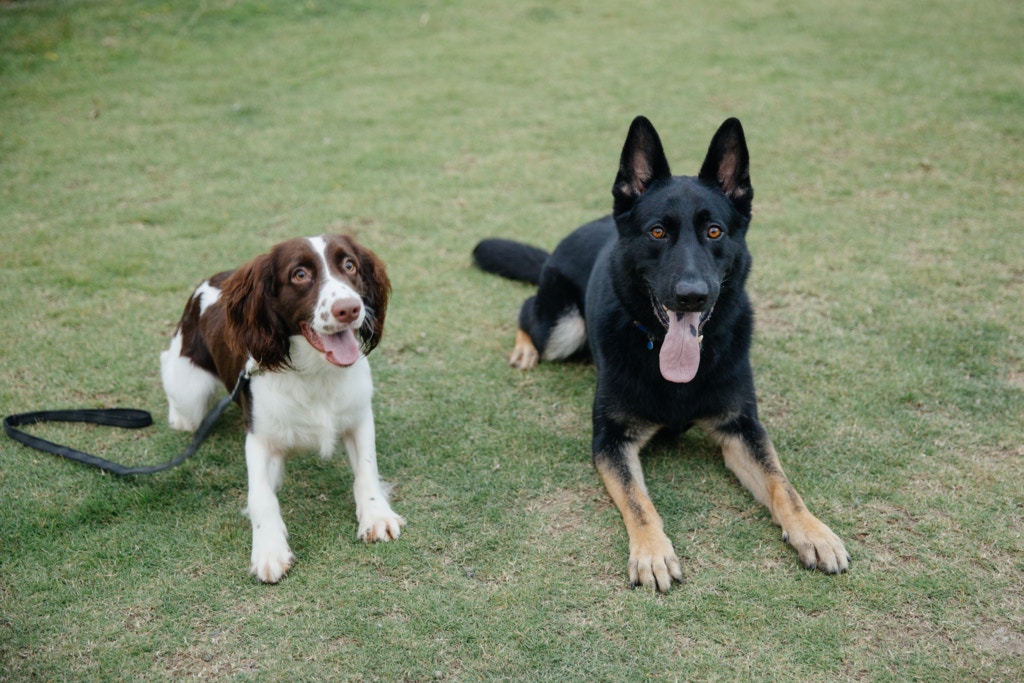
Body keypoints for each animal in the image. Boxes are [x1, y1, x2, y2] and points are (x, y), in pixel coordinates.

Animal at [159, 235, 403, 581]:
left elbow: (367, 469)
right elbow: (261, 496)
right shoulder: (260, 438)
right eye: (299, 274)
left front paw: (376, 515)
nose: (349, 309)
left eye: (349, 265)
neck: (316, 372)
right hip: (189, 389)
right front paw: (269, 551)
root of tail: (211, 281)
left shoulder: (359, 416)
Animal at [471, 114, 847, 589]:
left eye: (714, 231)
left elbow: (783, 483)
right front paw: (652, 553)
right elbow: (638, 500)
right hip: (562, 329)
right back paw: (524, 350)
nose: (692, 296)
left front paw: (813, 531)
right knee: (527, 309)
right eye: (657, 232)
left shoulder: (742, 429)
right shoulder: (611, 440)